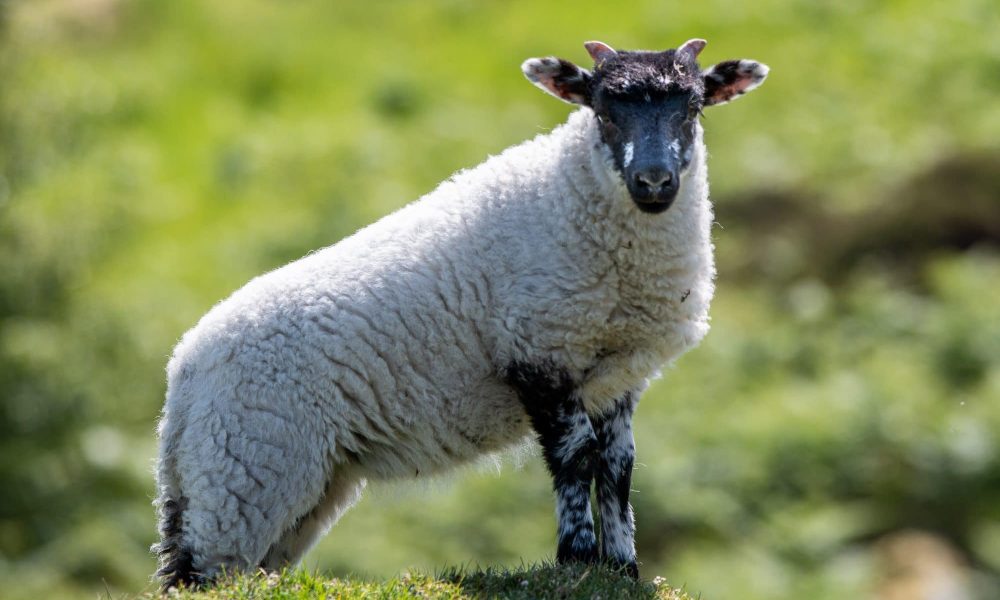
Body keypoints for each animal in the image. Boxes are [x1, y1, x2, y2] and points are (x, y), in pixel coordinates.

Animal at [152, 38, 769, 589]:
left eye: (693, 107)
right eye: (603, 111)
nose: (654, 182)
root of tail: (182, 377)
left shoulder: (618, 373)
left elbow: (617, 468)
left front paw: (621, 568)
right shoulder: (539, 350)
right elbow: (575, 458)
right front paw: (575, 559)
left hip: (288, 483)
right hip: (247, 468)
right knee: (199, 572)